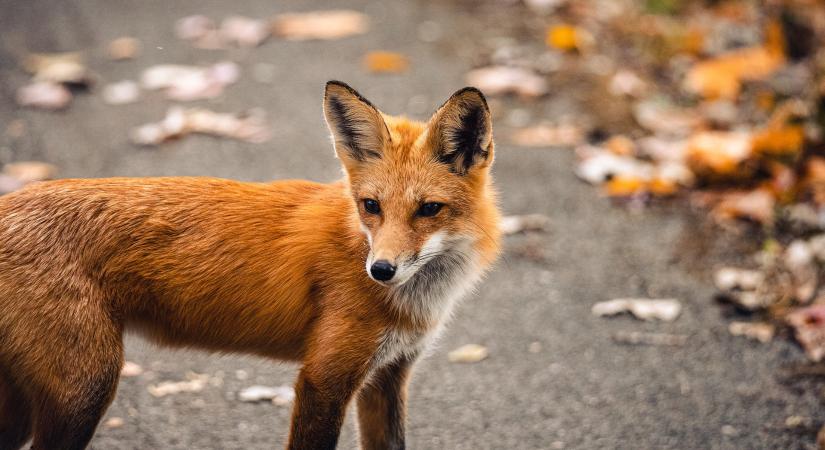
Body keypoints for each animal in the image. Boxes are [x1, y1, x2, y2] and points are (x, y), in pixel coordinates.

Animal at [0, 81, 498, 450]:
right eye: (371, 205)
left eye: (429, 209)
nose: (380, 270)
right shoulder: (324, 378)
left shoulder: (388, 376)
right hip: (84, 391)